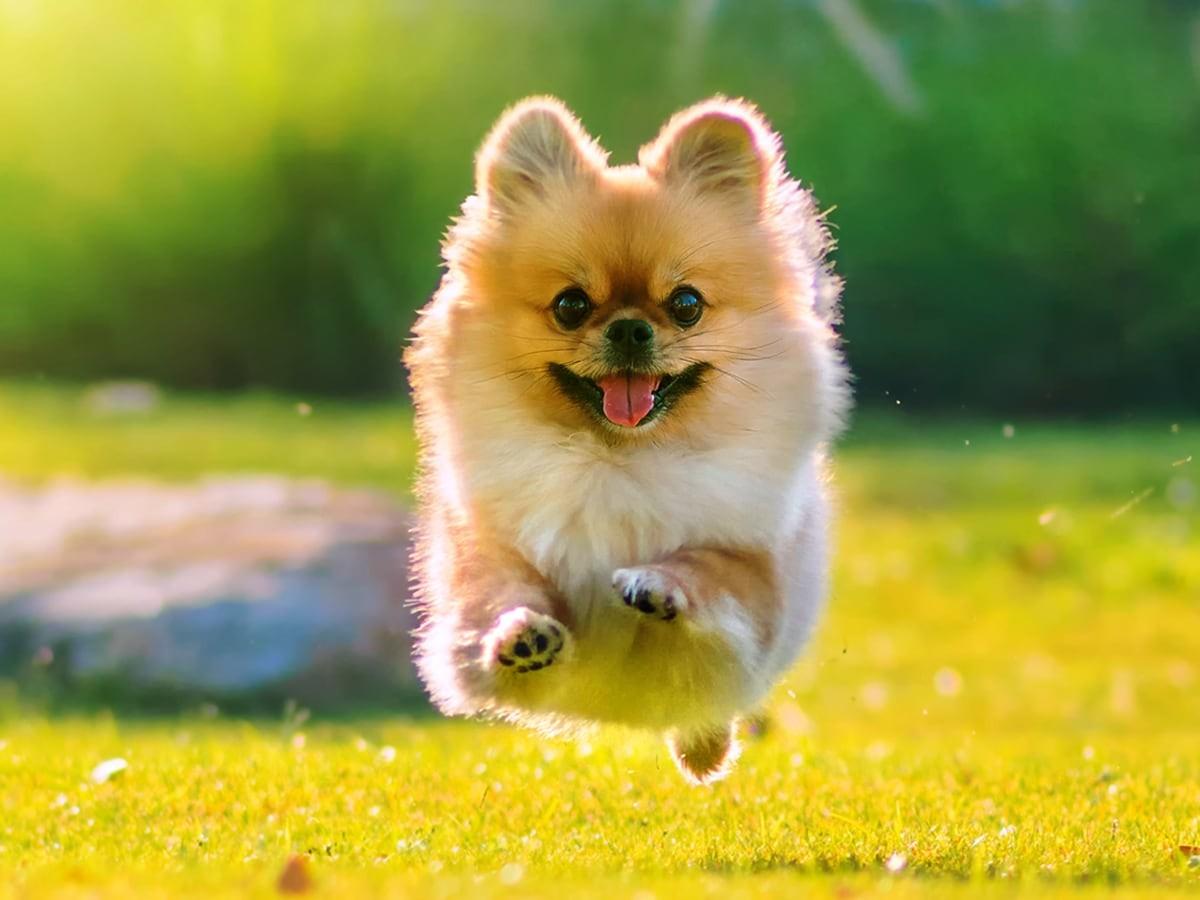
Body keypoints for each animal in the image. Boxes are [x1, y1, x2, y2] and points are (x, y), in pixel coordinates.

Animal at [408, 93, 849, 782]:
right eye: (570, 305)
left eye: (687, 303)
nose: (630, 329)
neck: (619, 459)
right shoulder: (482, 555)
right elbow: (498, 597)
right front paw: (520, 633)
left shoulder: (755, 587)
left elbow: (707, 571)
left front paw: (659, 584)